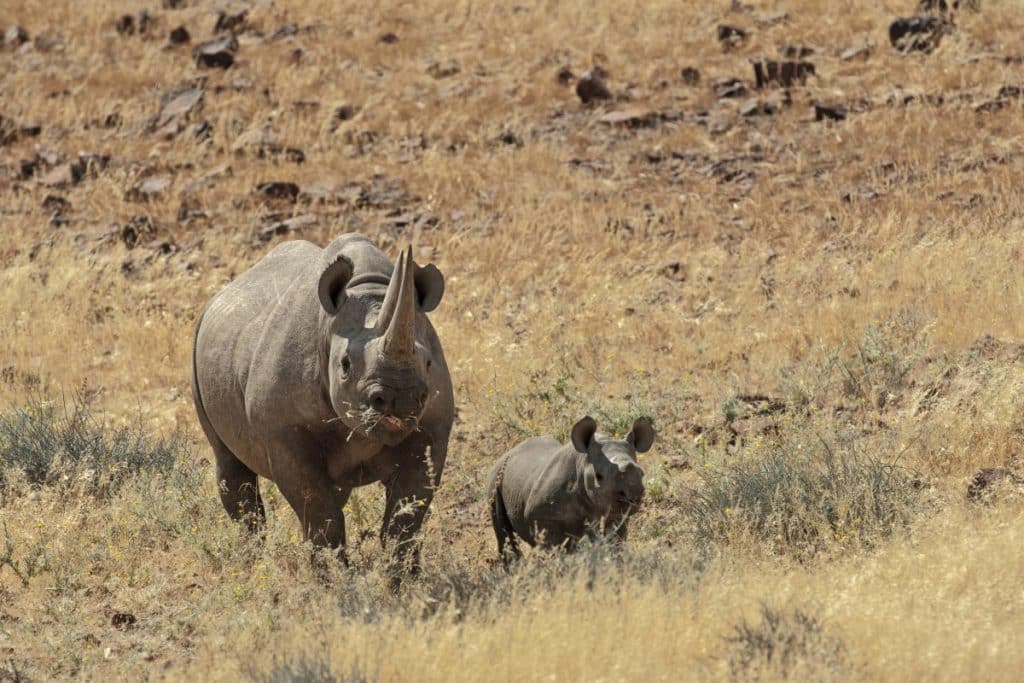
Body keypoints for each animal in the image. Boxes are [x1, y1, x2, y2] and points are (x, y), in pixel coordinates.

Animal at [191, 234, 454, 578]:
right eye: (345, 365)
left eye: (428, 363)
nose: (400, 399)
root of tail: (219, 296)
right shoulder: (283, 431)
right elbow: (319, 513)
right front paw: (333, 581)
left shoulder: (430, 427)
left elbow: (406, 517)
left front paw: (403, 580)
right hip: (198, 350)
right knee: (230, 465)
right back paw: (252, 564)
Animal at [487, 416, 654, 564]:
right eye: (599, 476)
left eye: (642, 473)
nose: (633, 495)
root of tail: (507, 453)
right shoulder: (540, 516)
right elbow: (552, 549)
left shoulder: (616, 516)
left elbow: (614, 544)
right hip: (496, 477)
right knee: (503, 533)